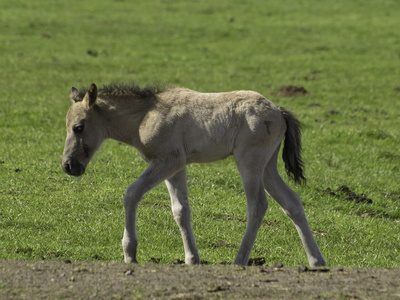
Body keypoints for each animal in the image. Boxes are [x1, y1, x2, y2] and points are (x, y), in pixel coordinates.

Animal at [62, 82, 324, 268]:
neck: (145, 115)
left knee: (258, 205)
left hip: (250, 163)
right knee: (292, 202)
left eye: (79, 127)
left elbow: (131, 194)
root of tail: (279, 111)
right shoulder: (177, 167)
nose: (68, 166)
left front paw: (130, 253)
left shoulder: (168, 161)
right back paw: (316, 261)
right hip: (268, 167)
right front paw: (191, 259)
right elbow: (180, 210)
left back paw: (239, 261)